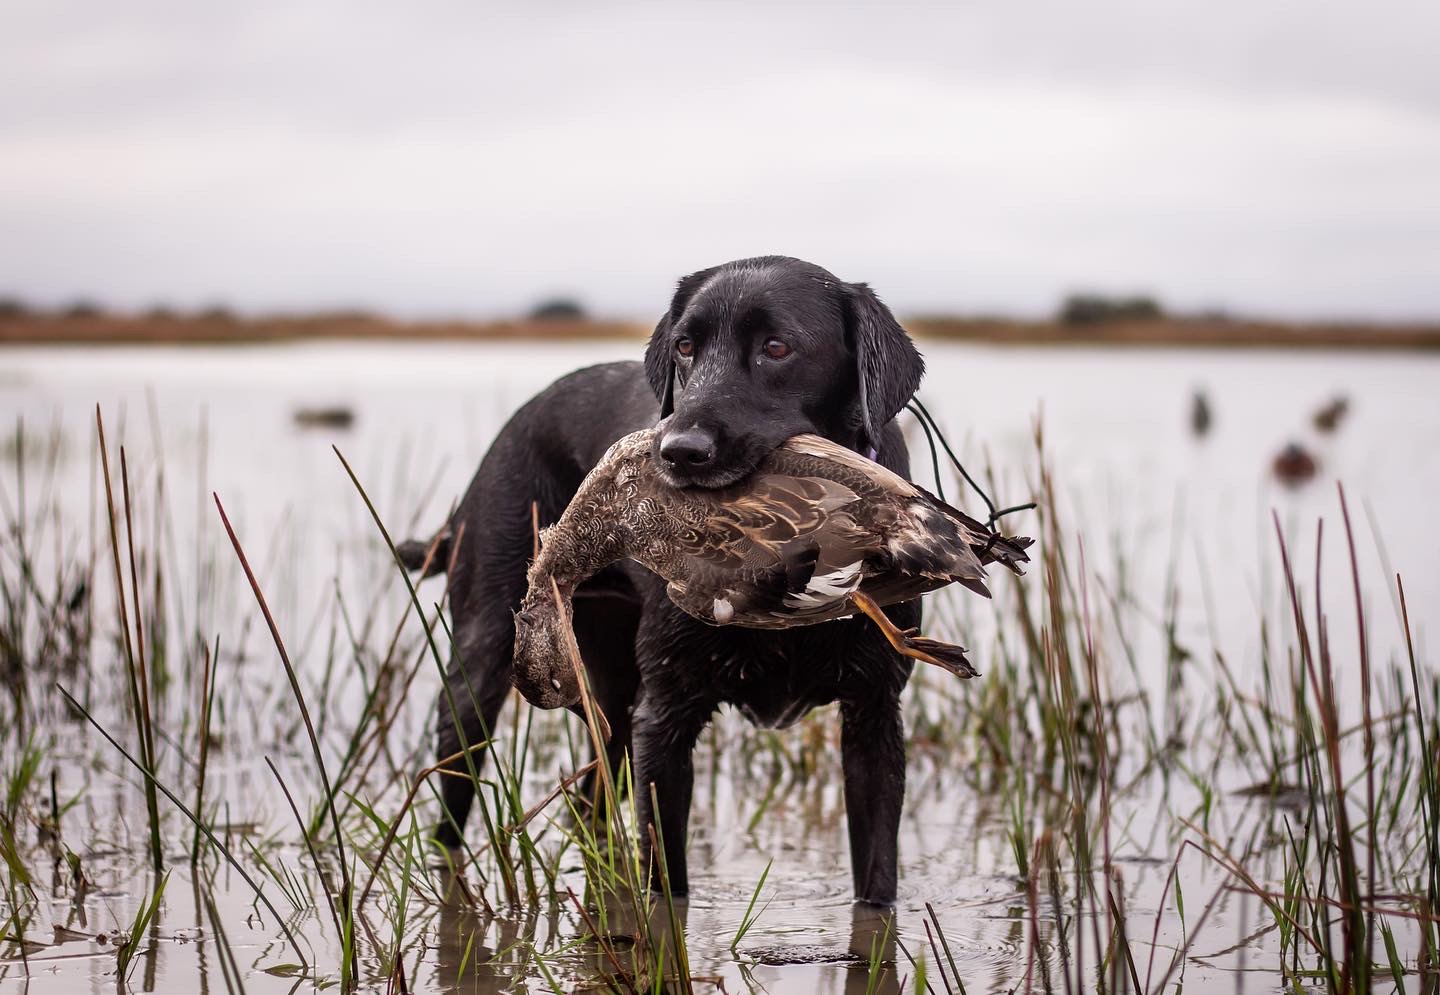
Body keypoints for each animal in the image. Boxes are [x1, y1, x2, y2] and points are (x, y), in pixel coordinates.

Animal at [400, 253, 927, 904]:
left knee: (593, 800)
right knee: (455, 792)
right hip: (483, 667)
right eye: (685, 346)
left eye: (777, 347)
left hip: (612, 701)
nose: (678, 451)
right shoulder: (666, 718)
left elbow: (878, 880)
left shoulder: (875, 716)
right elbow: (666, 883)